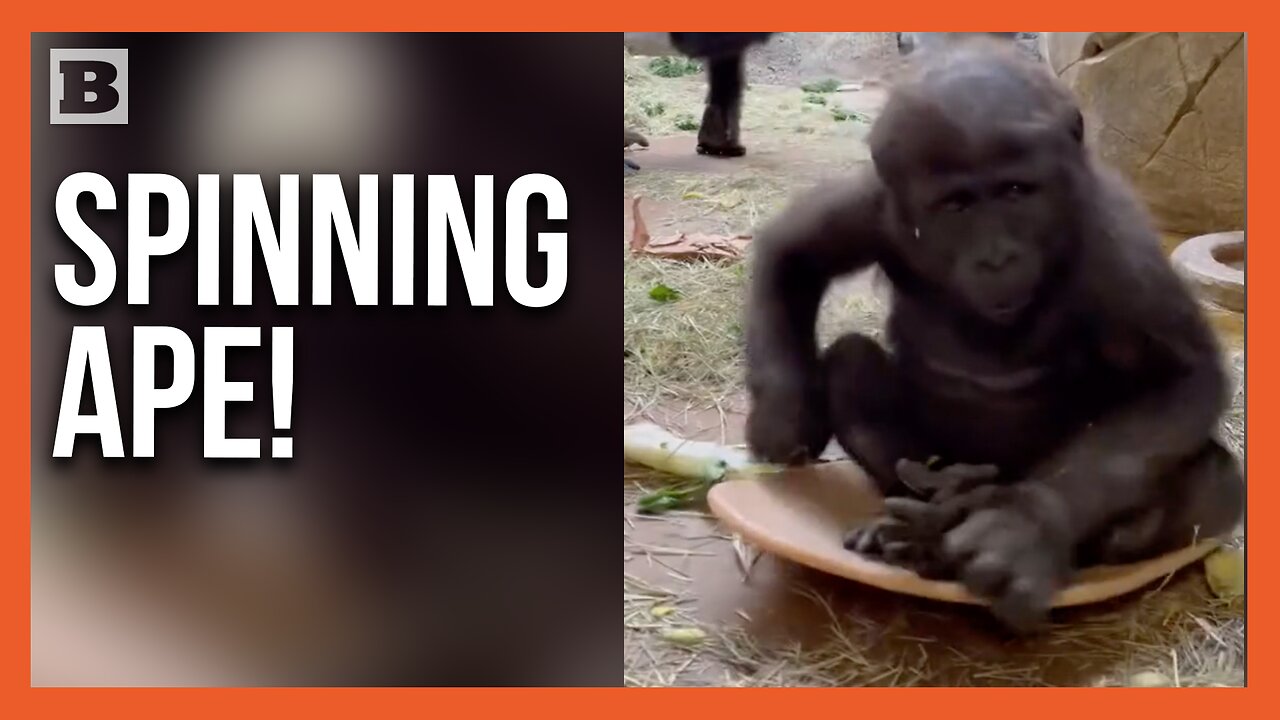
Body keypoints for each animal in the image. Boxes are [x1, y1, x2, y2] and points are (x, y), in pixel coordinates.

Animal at [747, 39, 1244, 630]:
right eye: (957, 205)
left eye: (1014, 191)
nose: (996, 257)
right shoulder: (877, 203)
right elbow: (794, 254)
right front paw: (784, 411)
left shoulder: (1114, 238)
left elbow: (1184, 380)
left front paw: (1028, 524)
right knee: (852, 363)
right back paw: (926, 515)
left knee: (1213, 482)